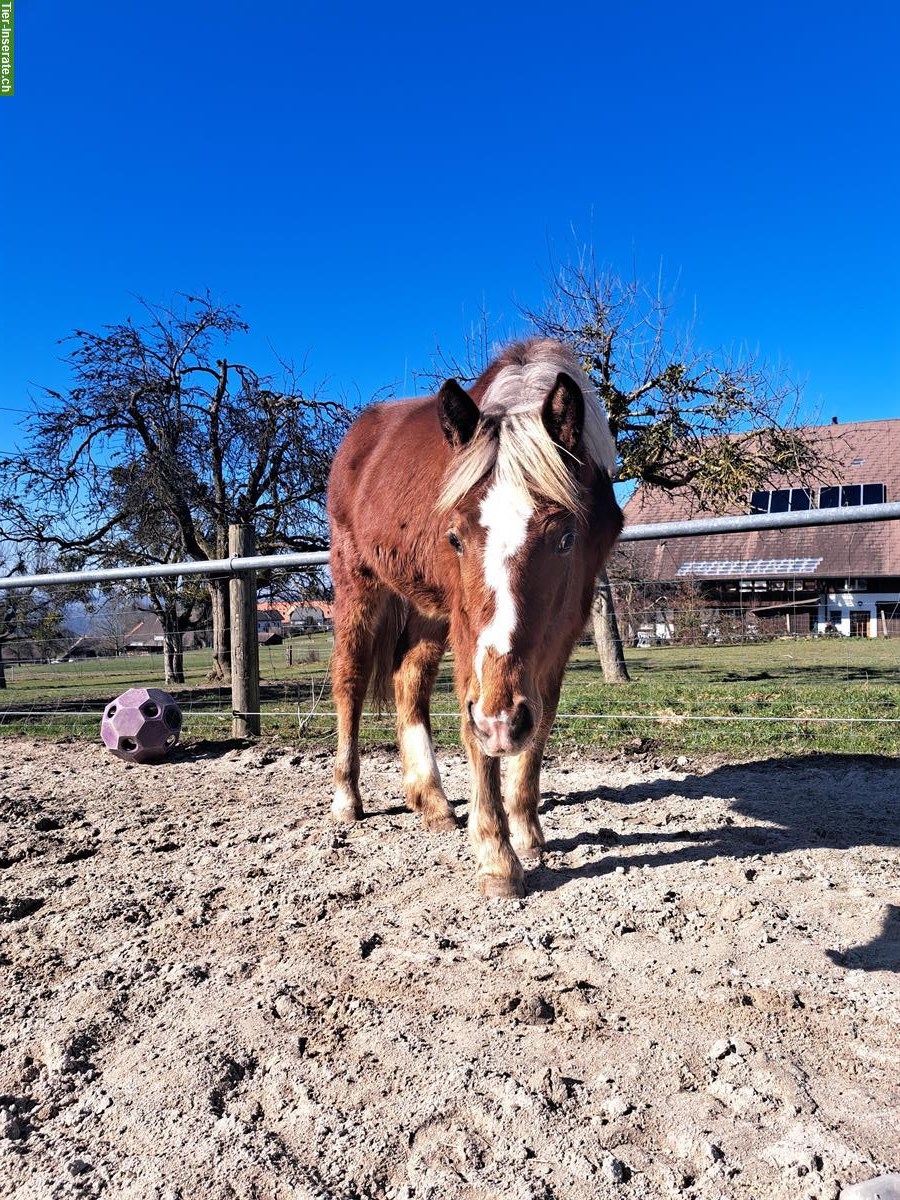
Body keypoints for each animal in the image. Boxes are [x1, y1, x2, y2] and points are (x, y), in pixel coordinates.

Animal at [328, 333, 624, 897]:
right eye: (456, 537)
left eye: (565, 538)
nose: (501, 722)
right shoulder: (471, 635)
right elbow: (475, 734)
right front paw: (496, 857)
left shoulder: (563, 627)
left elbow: (541, 720)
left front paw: (526, 830)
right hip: (359, 586)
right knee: (350, 682)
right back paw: (347, 800)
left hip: (428, 609)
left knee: (408, 680)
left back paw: (433, 802)